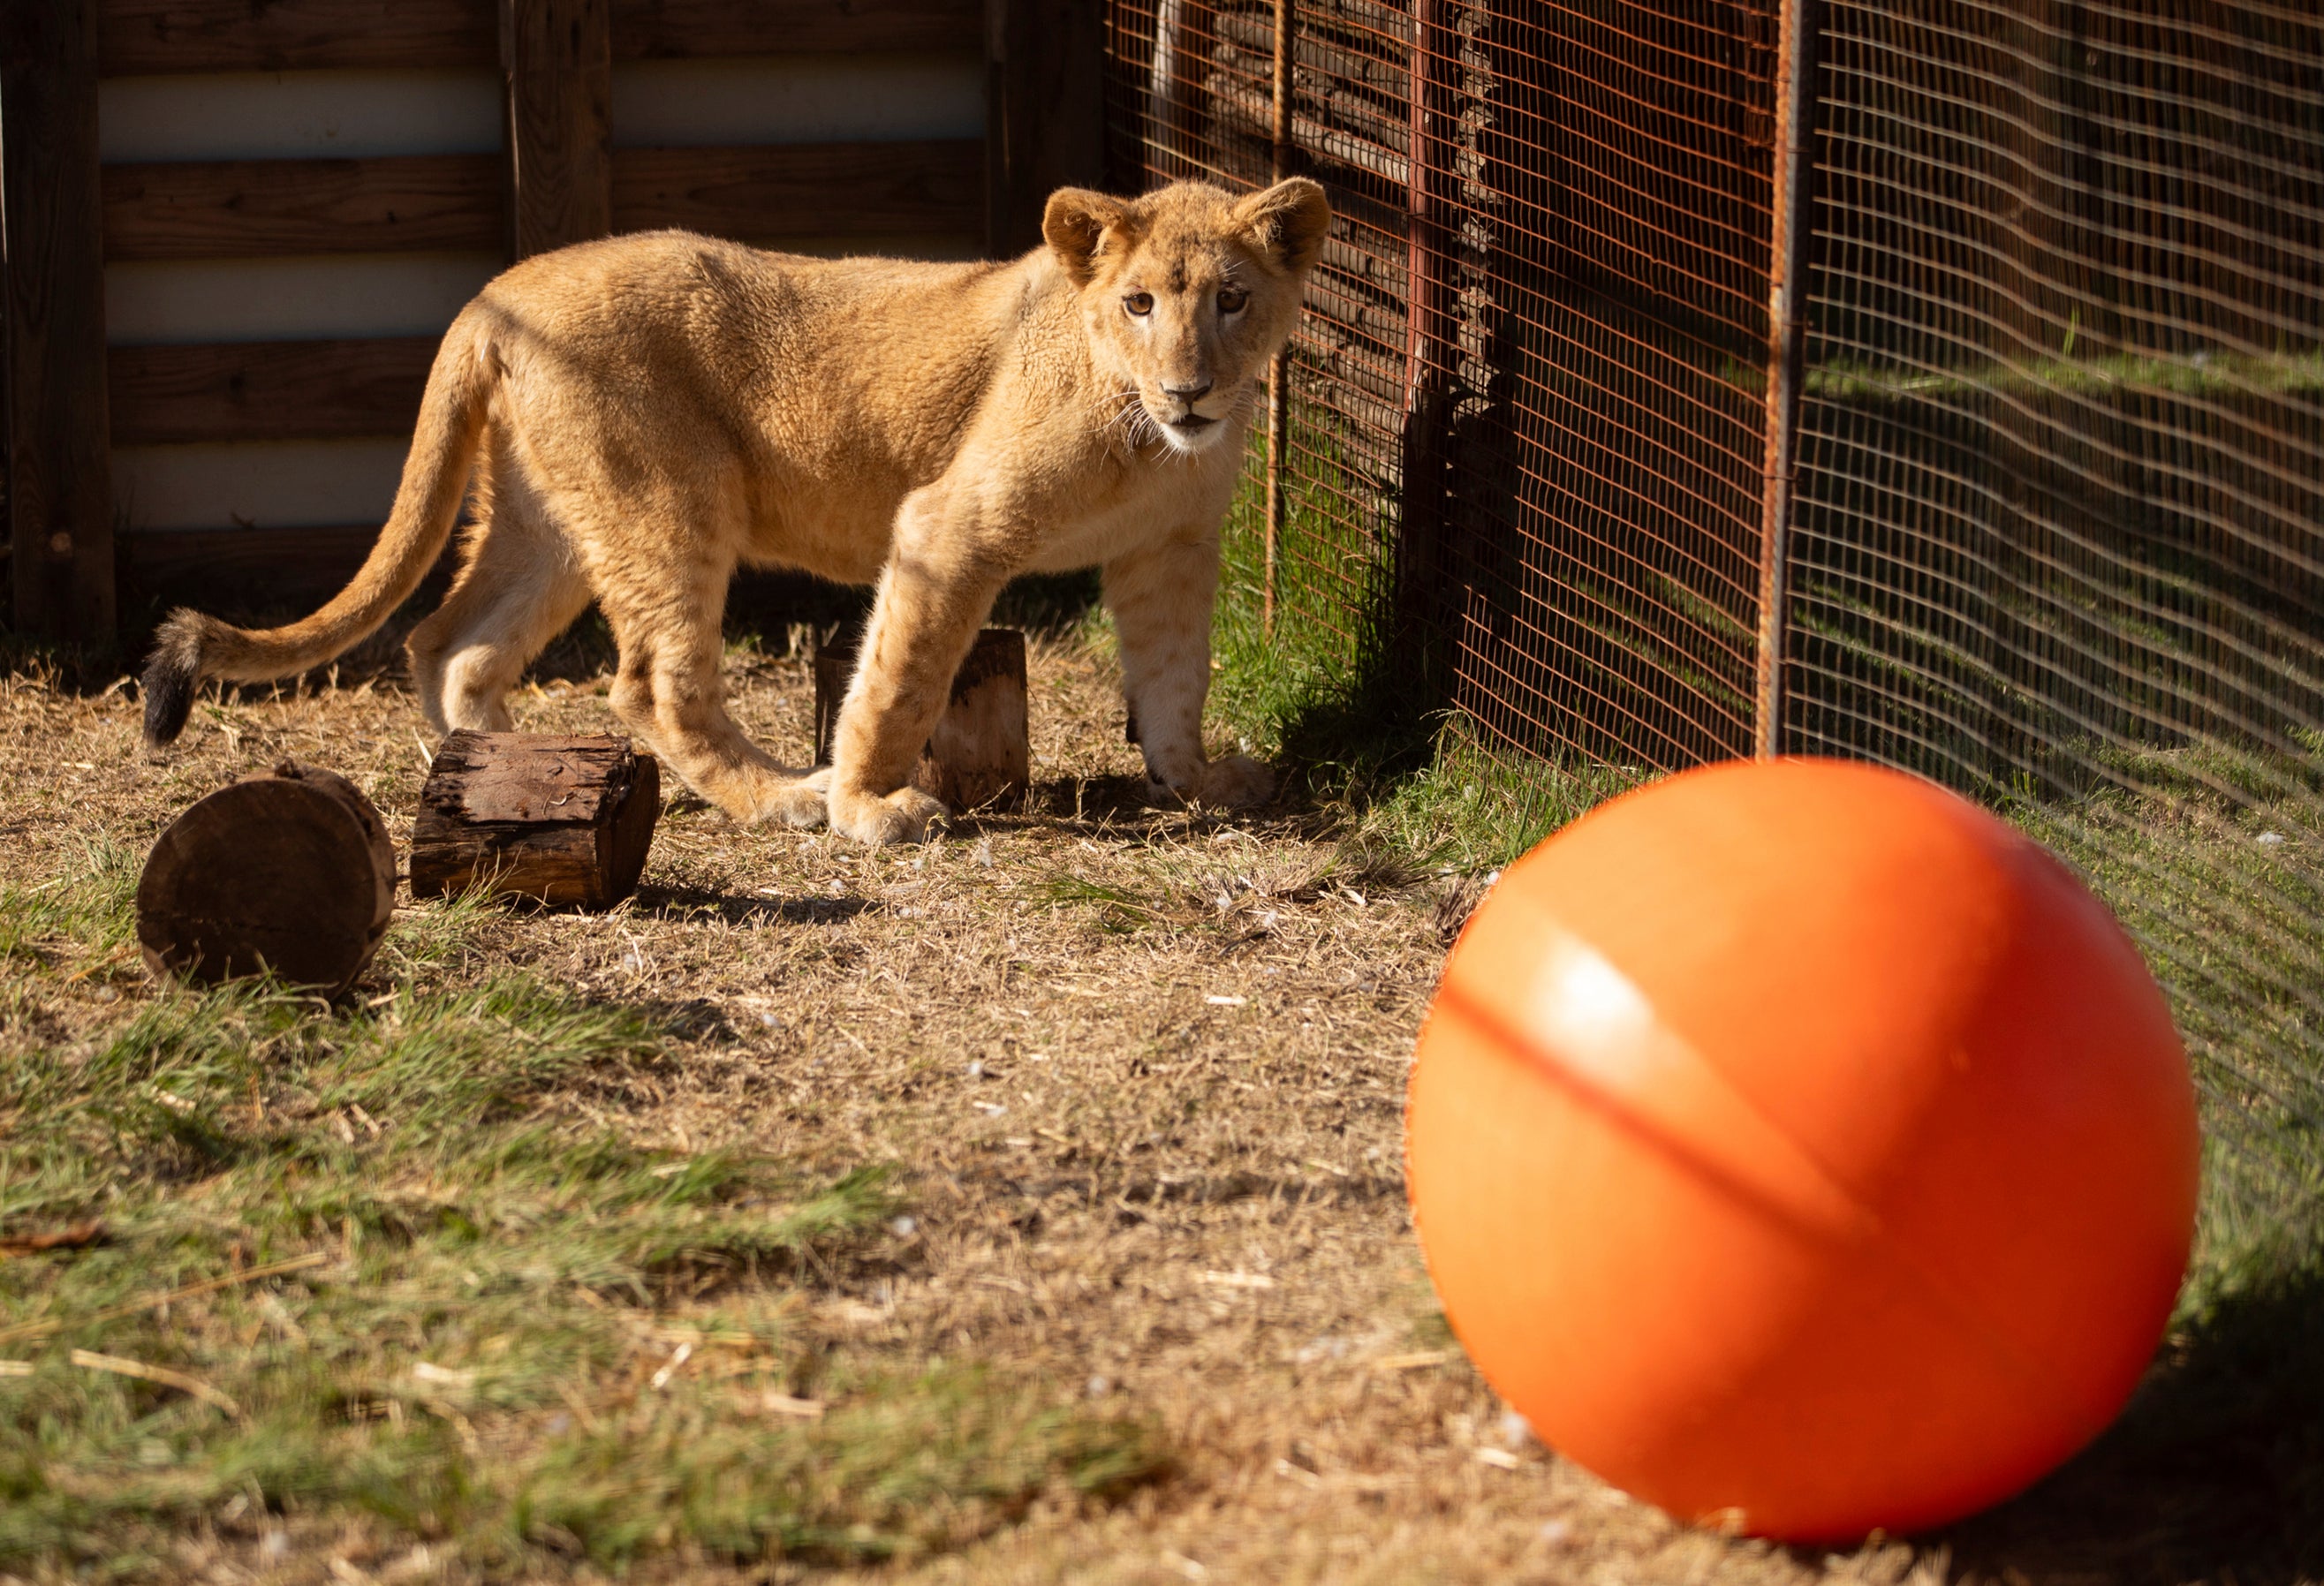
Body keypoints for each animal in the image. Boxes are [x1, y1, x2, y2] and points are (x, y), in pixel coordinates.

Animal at [140, 177, 1332, 845]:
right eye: (1138, 303)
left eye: (1232, 300)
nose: (1191, 389)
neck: (1153, 442)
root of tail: (492, 295)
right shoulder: (949, 526)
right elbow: (899, 680)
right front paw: (868, 807)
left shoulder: (1171, 551)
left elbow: (1176, 676)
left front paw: (1201, 780)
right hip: (667, 501)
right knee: (649, 683)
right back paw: (778, 798)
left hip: (552, 517)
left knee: (451, 643)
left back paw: (502, 773)